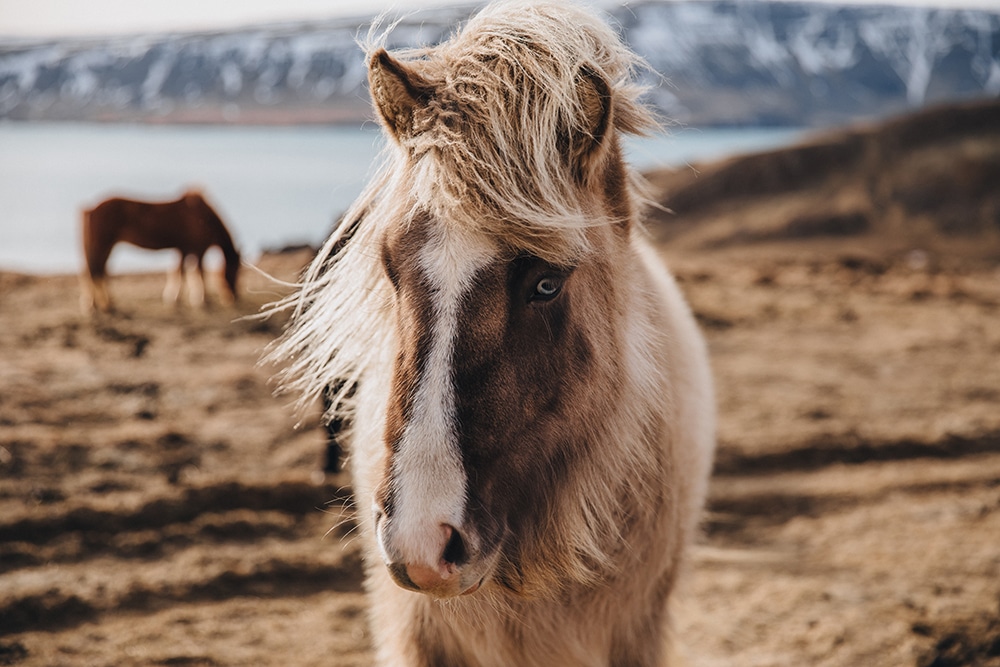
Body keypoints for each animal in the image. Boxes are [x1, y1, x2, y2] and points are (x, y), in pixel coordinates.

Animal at [80, 188, 240, 314]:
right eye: (234, 270)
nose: (233, 297)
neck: (204, 216)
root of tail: (91, 208)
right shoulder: (198, 250)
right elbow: (199, 273)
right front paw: (202, 300)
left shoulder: (183, 249)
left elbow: (179, 272)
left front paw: (174, 299)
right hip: (102, 245)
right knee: (96, 271)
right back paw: (104, 305)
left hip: (105, 246)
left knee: (95, 271)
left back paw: (97, 305)